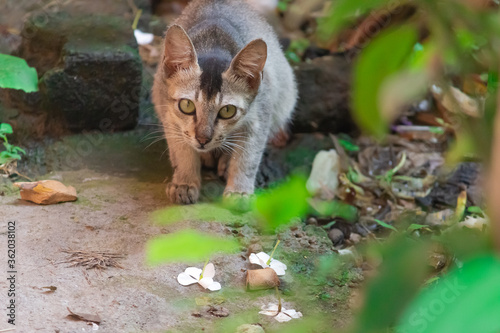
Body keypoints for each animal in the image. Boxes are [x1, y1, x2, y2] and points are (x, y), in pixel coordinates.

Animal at [152, 0, 296, 204]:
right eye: (187, 106)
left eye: (227, 111)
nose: (203, 139)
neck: (215, 44)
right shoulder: (168, 113)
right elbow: (181, 151)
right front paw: (185, 182)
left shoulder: (260, 118)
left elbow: (248, 157)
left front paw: (239, 191)